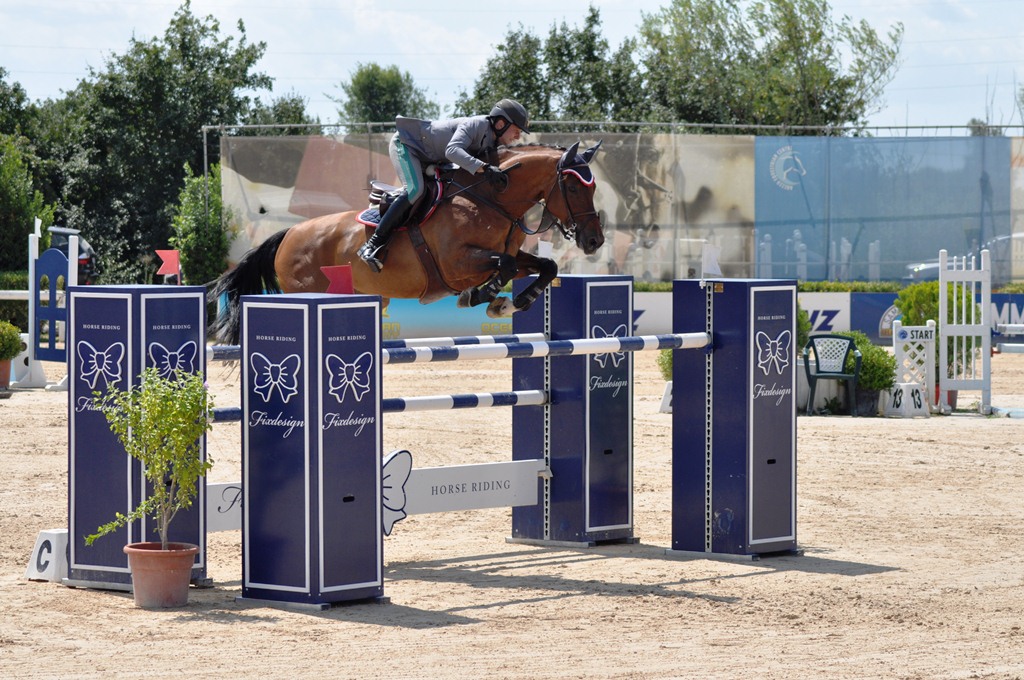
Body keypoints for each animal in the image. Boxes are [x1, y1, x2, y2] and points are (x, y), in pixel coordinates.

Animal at [210, 142, 602, 346]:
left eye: (593, 186)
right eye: (572, 186)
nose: (594, 240)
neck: (492, 198)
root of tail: (289, 234)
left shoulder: (508, 254)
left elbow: (545, 266)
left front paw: (513, 302)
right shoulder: (457, 265)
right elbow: (501, 269)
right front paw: (483, 297)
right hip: (305, 288)